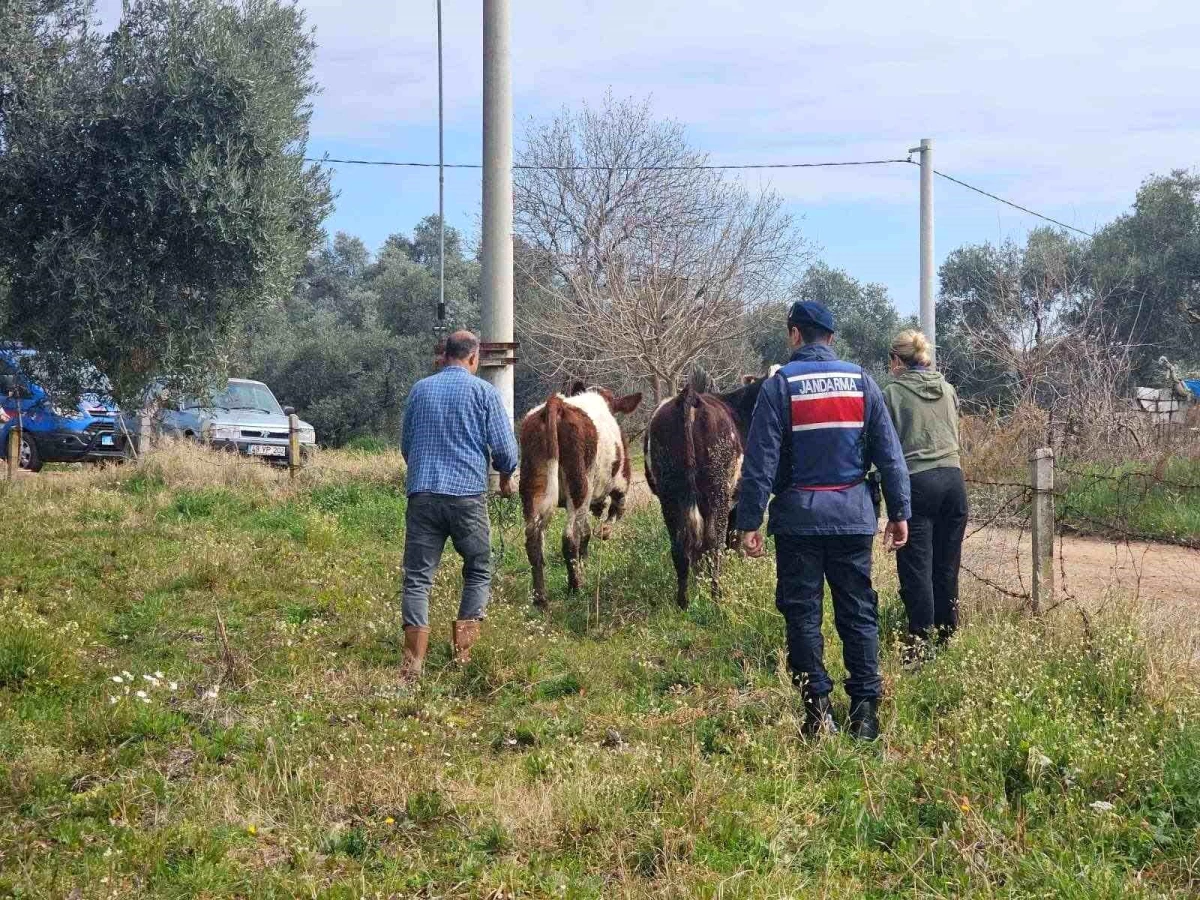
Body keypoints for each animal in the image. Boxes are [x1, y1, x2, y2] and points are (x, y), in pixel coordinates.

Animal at [520, 384, 643, 609]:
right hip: (580, 487)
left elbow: (585, 532)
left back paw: (540, 598)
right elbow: (613, 514)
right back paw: (575, 587)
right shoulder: (621, 485)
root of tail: (557, 404)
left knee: (534, 539)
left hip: (531, 487)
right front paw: (603, 532)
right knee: (569, 537)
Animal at [648, 367, 777, 614]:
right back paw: (717, 597)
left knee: (681, 546)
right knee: (714, 543)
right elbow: (733, 538)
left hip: (670, 495)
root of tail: (688, 396)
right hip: (717, 492)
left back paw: (684, 602)